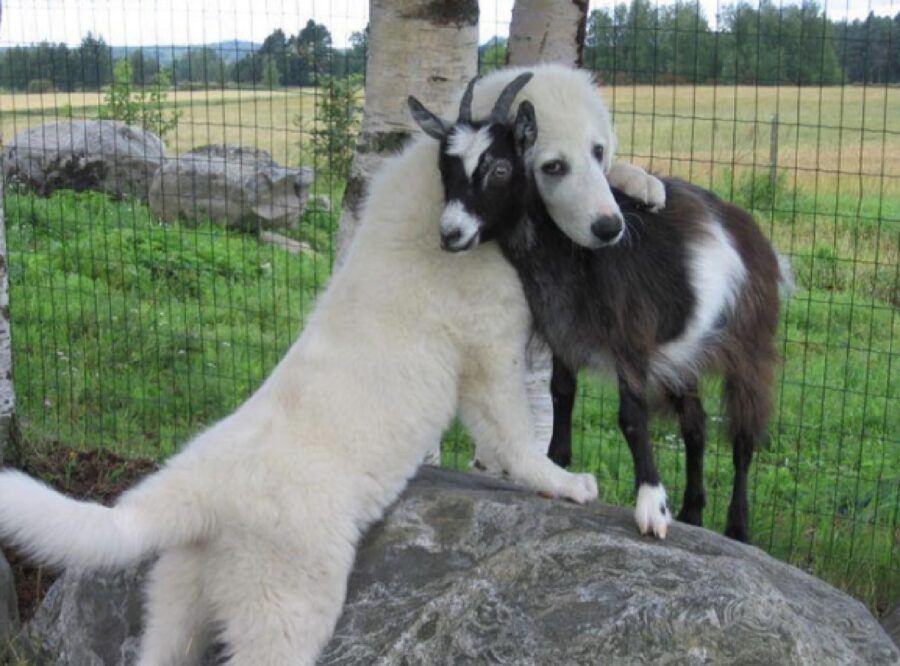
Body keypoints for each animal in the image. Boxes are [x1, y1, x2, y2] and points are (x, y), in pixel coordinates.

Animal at [412, 71, 792, 540]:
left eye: (499, 167)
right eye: (444, 168)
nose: (451, 234)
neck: (569, 254)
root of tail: (754, 235)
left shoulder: (631, 341)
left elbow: (632, 416)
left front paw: (652, 506)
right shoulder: (563, 333)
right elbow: (562, 394)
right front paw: (559, 468)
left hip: (749, 344)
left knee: (742, 437)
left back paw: (736, 527)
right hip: (685, 354)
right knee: (696, 427)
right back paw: (693, 513)